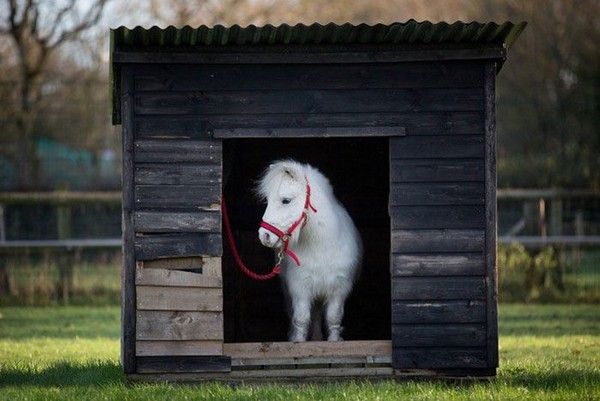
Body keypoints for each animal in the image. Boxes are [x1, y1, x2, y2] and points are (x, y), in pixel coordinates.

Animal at [256, 159, 360, 340]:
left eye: (286, 200)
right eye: (267, 200)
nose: (264, 236)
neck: (322, 247)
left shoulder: (339, 289)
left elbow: (333, 318)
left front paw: (334, 341)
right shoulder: (300, 288)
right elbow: (301, 319)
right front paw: (297, 341)